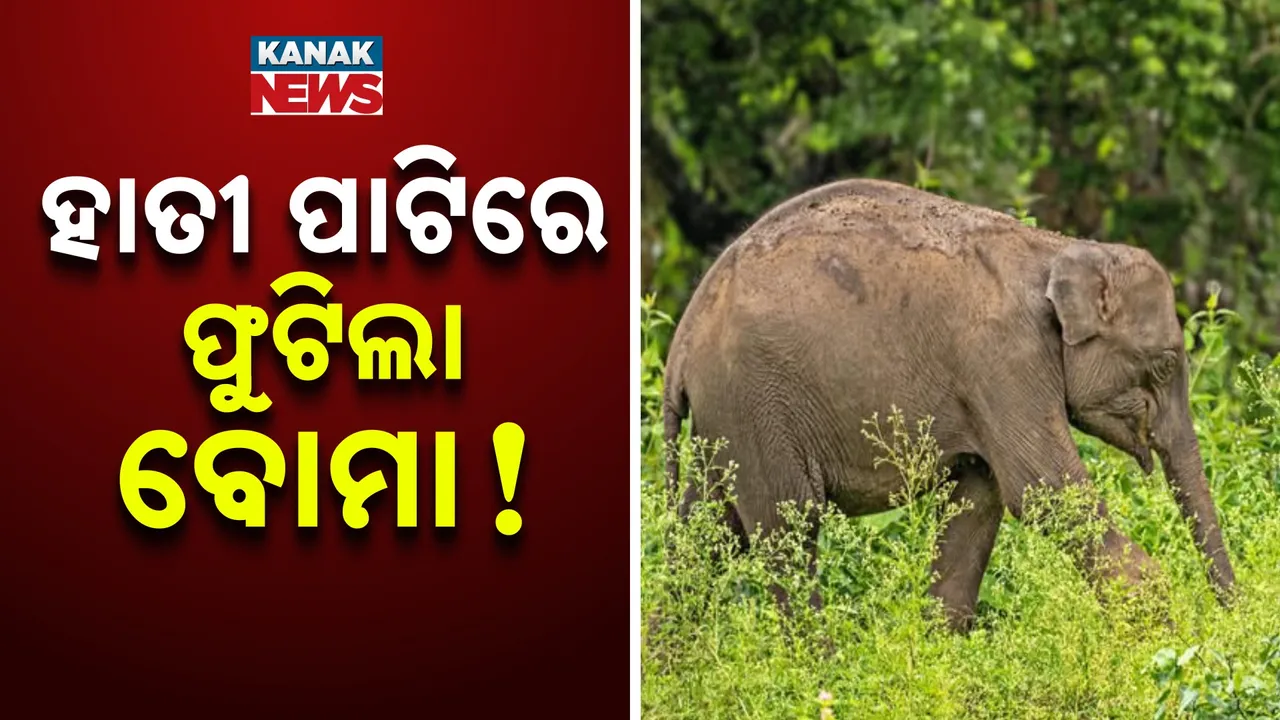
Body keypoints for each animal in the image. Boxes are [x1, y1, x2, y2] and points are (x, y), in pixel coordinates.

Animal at [661, 178, 1236, 631]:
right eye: (1164, 365)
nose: (1232, 620)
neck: (1057, 249)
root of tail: (682, 342)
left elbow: (977, 501)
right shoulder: (1002, 362)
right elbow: (1042, 493)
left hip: (727, 419)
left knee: (707, 533)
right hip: (754, 405)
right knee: (787, 528)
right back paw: (823, 676)